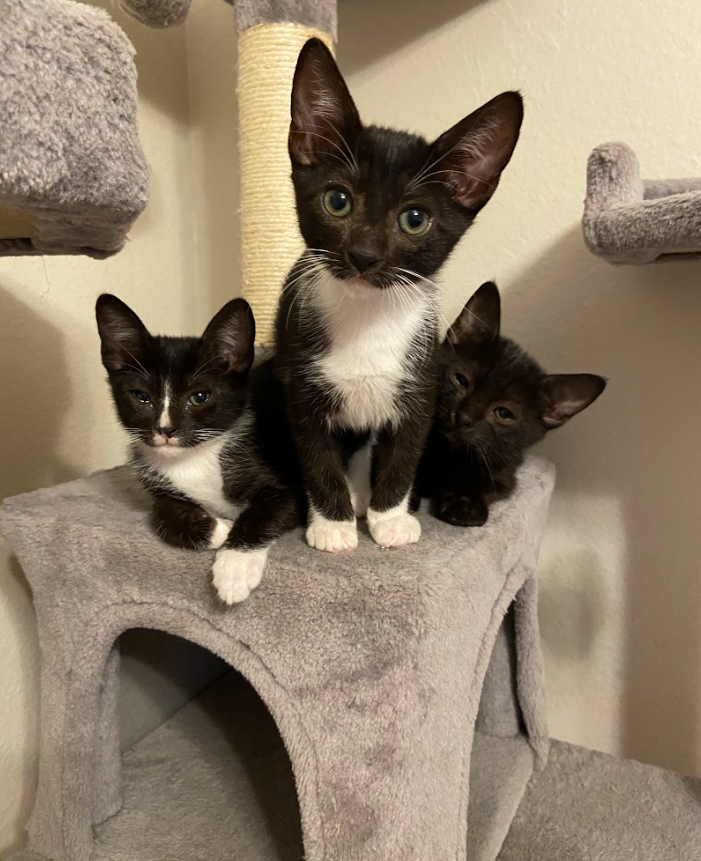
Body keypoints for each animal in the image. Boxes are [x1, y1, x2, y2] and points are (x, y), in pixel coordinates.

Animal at [95, 296, 304, 604]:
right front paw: (218, 530)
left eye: (199, 397)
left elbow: (262, 513)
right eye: (141, 397)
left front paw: (234, 568)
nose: (165, 429)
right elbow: (160, 514)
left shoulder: (288, 490)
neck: (194, 456)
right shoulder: (158, 487)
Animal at [276, 38, 524, 552]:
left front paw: (390, 518)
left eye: (414, 219)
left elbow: (406, 450)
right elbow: (316, 454)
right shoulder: (299, 382)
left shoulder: (422, 379)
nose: (363, 255)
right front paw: (332, 524)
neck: (367, 318)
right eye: (338, 200)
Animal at [412, 282, 604, 524]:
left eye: (504, 413)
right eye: (461, 380)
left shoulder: (507, 469)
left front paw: (464, 502)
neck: (449, 452)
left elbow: (492, 484)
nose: (463, 417)